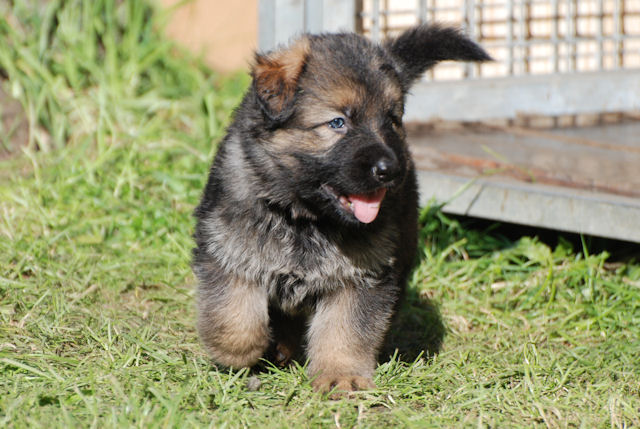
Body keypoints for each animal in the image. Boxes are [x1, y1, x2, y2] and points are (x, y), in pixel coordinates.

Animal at [192, 24, 490, 394]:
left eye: (391, 120)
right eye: (337, 122)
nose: (390, 170)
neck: (304, 218)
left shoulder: (364, 275)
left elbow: (346, 328)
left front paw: (340, 375)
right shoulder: (229, 252)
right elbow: (234, 319)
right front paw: (238, 353)